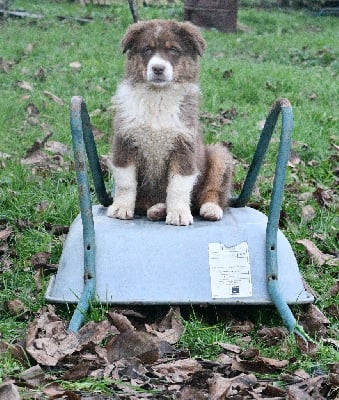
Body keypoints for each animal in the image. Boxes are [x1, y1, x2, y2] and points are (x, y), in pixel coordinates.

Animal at [107, 19, 235, 225]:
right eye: (147, 49)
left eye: (174, 50)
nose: (158, 68)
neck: (158, 97)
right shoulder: (125, 141)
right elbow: (126, 182)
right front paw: (121, 208)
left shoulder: (183, 146)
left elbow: (178, 185)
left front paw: (179, 214)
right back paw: (157, 209)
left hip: (219, 155)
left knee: (212, 193)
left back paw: (210, 209)